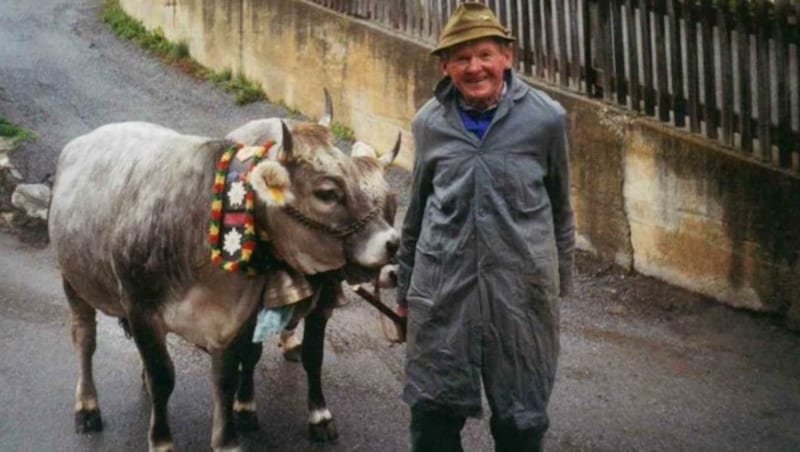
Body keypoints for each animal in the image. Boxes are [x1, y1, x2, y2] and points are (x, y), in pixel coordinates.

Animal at [46, 117, 400, 452]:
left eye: (392, 202)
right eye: (327, 193)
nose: (392, 244)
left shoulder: (237, 319)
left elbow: (230, 379)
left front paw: (232, 436)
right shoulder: (141, 309)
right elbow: (164, 378)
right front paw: (162, 440)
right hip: (72, 281)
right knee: (84, 339)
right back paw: (87, 407)